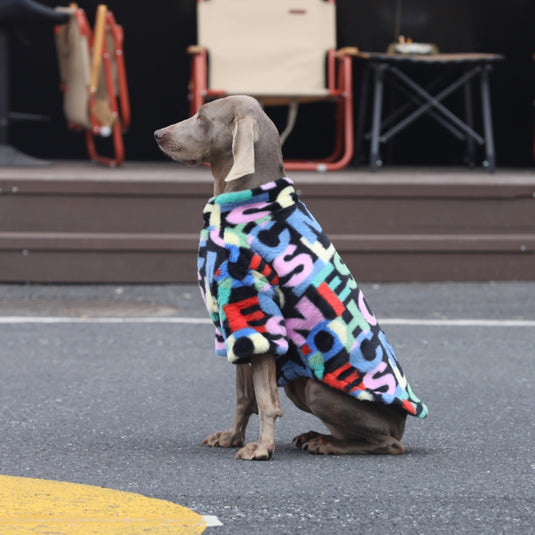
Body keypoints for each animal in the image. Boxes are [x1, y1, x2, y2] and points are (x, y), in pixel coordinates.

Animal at [154, 95, 428, 460]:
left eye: (201, 116)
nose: (157, 134)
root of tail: (403, 423)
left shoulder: (256, 314)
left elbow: (265, 398)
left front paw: (262, 448)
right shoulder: (237, 325)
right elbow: (245, 395)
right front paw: (232, 437)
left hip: (316, 389)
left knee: (386, 443)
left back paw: (326, 443)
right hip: (300, 385)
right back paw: (316, 436)